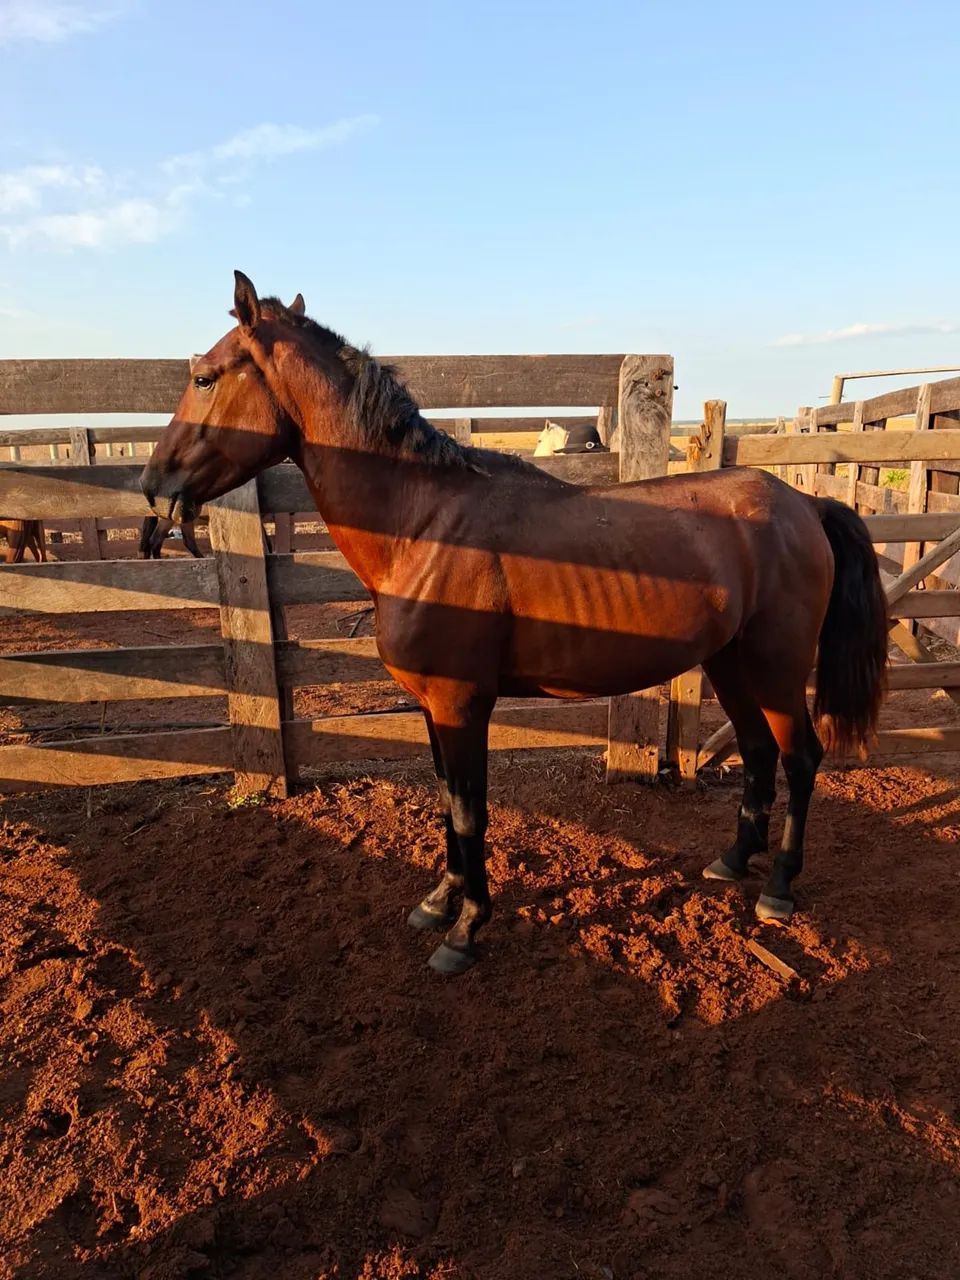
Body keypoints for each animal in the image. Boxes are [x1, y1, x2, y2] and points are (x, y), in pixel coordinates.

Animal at [141, 271, 888, 975]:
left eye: (205, 377)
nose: (153, 488)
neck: (423, 526)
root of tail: (804, 504)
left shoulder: (462, 704)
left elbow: (470, 811)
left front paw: (466, 930)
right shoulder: (433, 707)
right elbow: (448, 801)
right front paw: (439, 902)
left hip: (776, 668)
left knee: (801, 757)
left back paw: (780, 888)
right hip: (730, 663)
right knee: (759, 753)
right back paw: (733, 861)